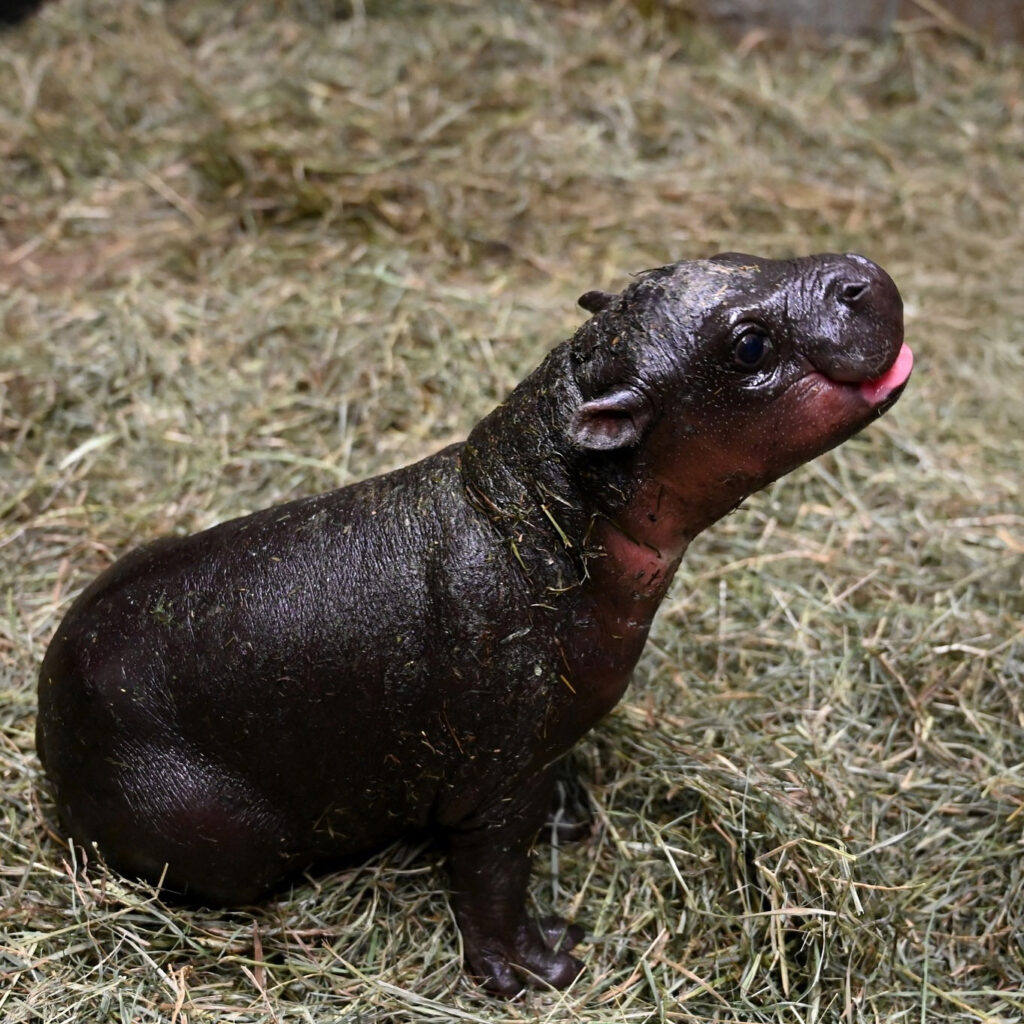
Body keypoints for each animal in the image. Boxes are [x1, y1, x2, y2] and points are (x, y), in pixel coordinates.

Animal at [36, 251, 913, 995]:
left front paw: (570, 817)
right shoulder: (494, 784)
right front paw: (542, 967)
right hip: (230, 833)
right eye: (749, 345)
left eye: (732, 253)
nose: (859, 272)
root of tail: (48, 721)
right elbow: (492, 881)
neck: (544, 504)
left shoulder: (543, 746)